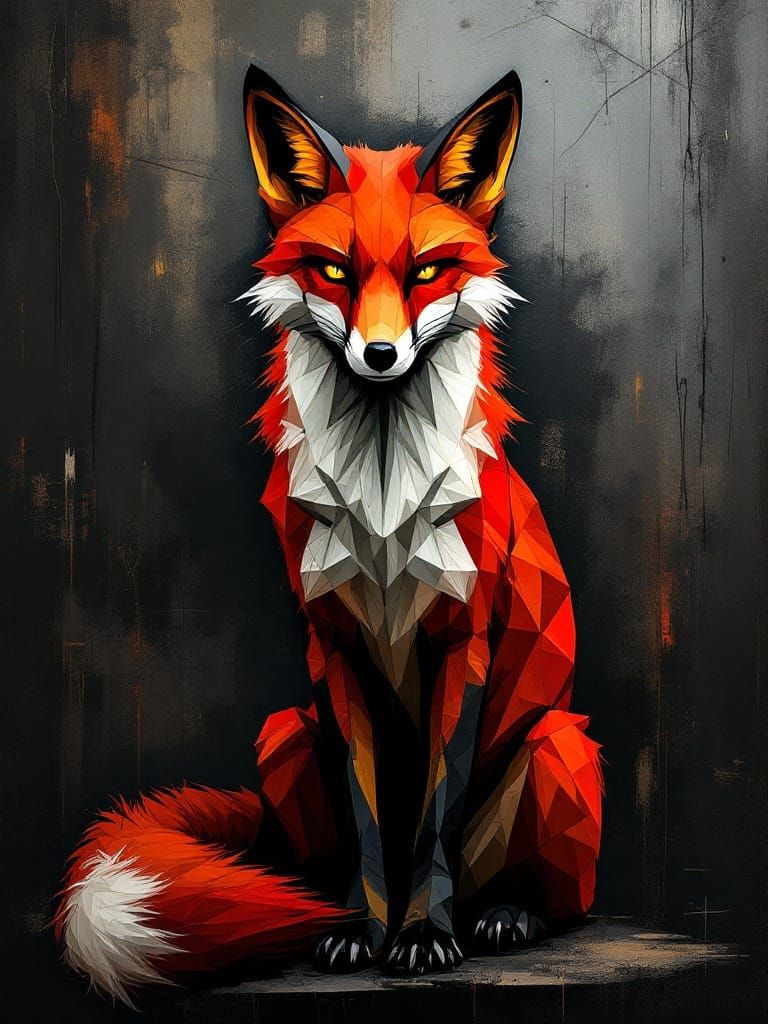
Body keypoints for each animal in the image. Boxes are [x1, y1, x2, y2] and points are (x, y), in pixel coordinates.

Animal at [54, 65, 603, 1006]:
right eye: (335, 271)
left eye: (427, 271)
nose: (380, 355)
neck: (383, 498)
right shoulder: (335, 646)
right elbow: (369, 817)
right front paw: (362, 931)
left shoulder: (463, 640)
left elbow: (432, 819)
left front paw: (423, 935)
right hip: (283, 730)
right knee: (301, 863)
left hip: (557, 745)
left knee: (552, 895)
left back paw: (505, 916)